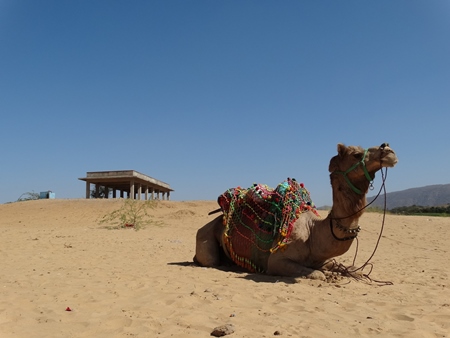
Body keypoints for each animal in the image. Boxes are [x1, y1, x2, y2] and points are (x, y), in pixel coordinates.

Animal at [193, 143, 398, 280]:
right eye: (356, 154)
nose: (389, 150)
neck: (314, 233)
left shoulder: (320, 259)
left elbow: (349, 268)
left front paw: (355, 272)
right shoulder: (276, 261)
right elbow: (318, 275)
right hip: (205, 239)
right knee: (210, 260)